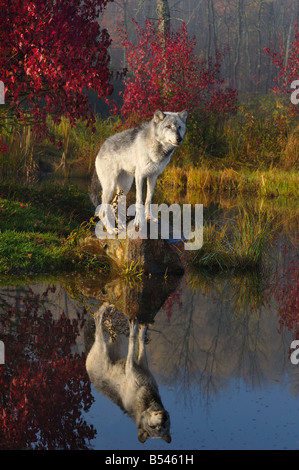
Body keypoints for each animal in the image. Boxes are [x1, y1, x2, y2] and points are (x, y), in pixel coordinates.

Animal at [85, 302, 172, 442]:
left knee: (109, 327)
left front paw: (140, 327)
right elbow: (134, 339)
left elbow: (137, 340)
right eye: (153, 427)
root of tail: (88, 372)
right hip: (102, 346)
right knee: (98, 318)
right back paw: (106, 309)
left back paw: (109, 313)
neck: (145, 392)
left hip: (115, 344)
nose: (163, 417)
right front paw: (138, 327)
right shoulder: (133, 365)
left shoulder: (141, 365)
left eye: (163, 426)